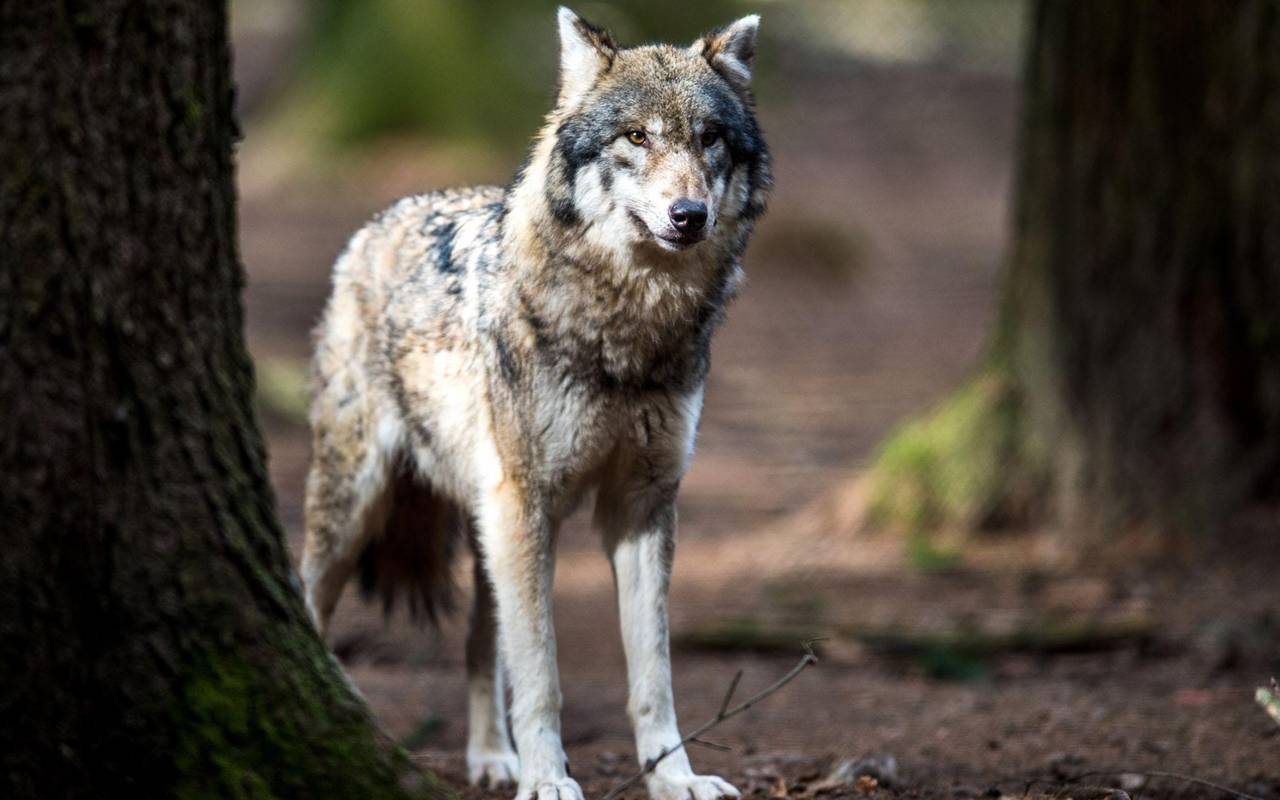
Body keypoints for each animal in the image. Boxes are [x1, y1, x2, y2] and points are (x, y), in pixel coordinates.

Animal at [300, 8, 771, 800]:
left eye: (709, 138)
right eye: (635, 137)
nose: (689, 215)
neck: (626, 332)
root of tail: (378, 221)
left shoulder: (641, 506)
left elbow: (654, 676)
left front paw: (674, 778)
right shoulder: (529, 502)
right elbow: (543, 674)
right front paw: (550, 780)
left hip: (491, 525)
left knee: (477, 644)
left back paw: (493, 759)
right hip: (362, 506)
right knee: (308, 598)